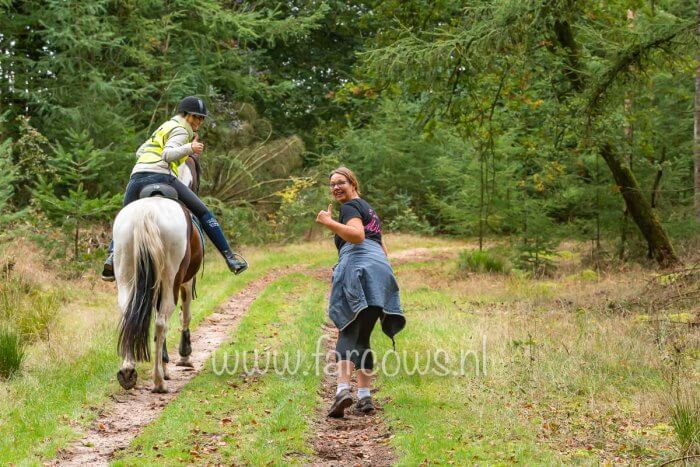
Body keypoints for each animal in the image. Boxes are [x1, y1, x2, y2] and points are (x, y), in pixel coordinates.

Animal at [113, 158, 204, 394]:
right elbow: (185, 315)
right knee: (162, 322)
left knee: (128, 314)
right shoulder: (186, 282)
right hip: (171, 280)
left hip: (126, 274)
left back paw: (128, 372)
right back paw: (158, 382)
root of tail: (149, 213)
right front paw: (183, 356)